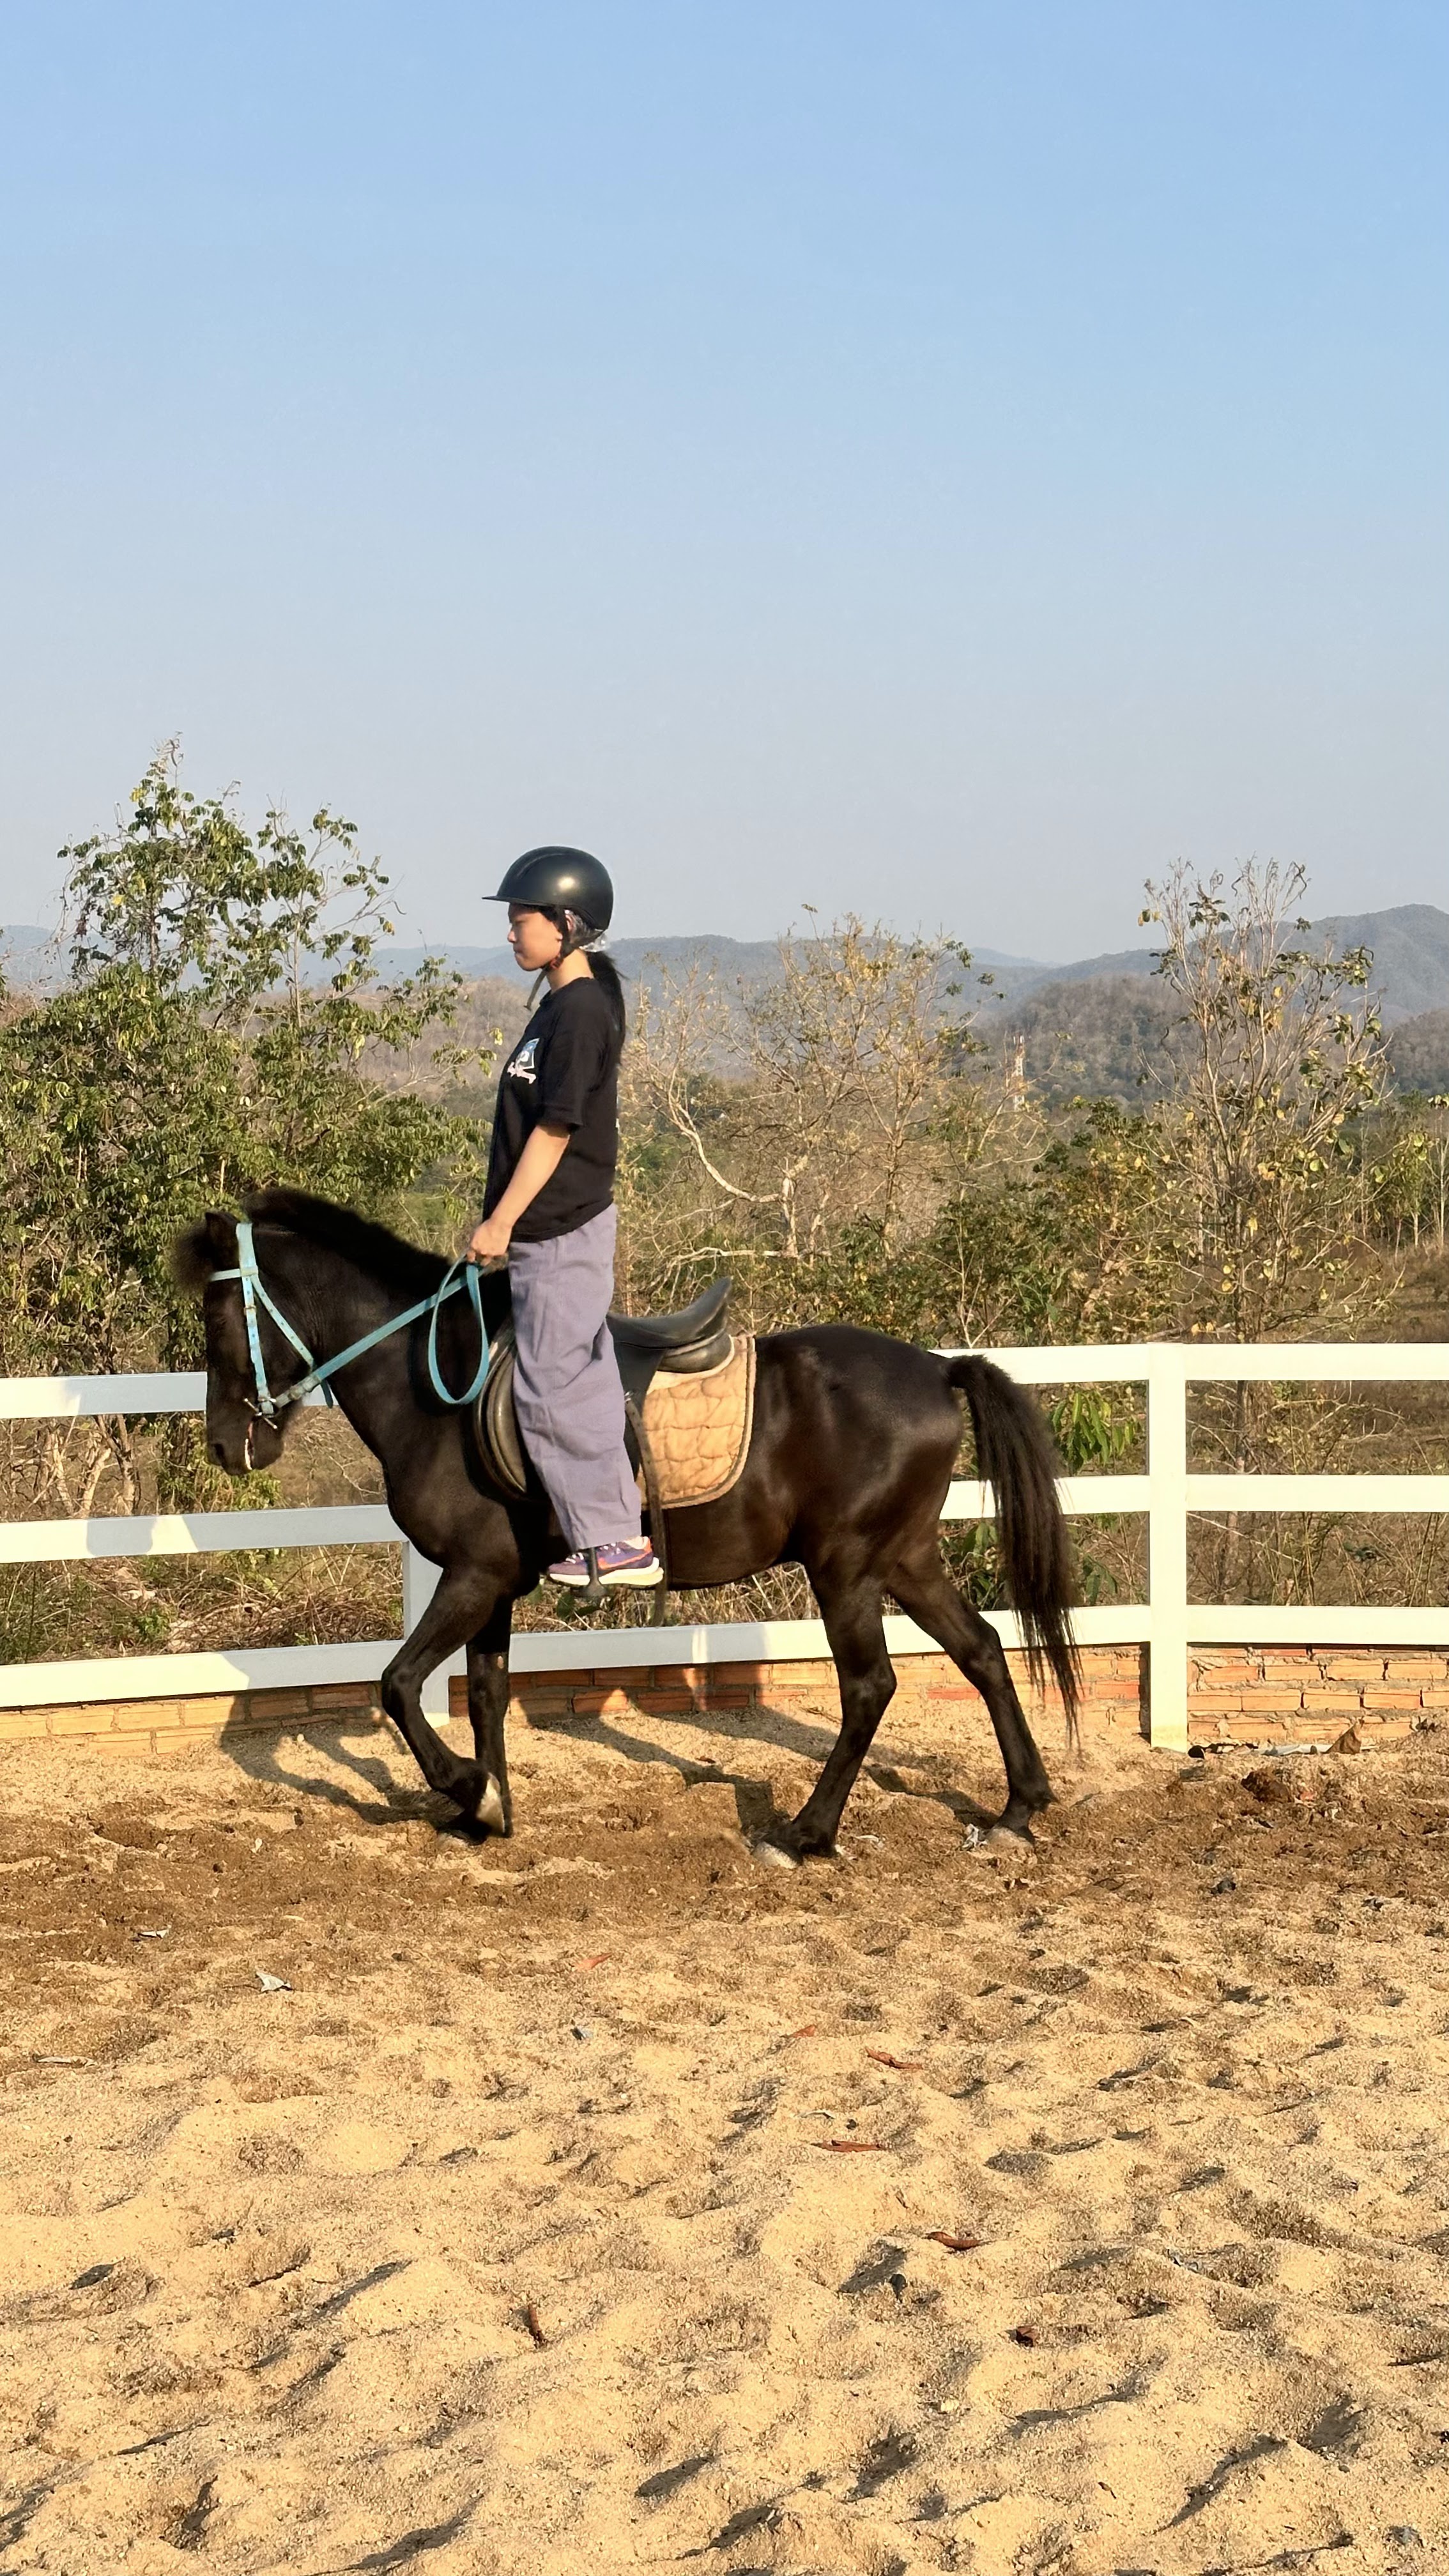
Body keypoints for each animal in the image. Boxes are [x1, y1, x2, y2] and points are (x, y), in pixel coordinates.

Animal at [174, 1190, 1079, 1862]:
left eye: (216, 1320)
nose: (226, 1445)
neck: (442, 1385)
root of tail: (938, 1367)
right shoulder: (490, 1582)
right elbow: (487, 1692)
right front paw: (488, 1812)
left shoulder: (472, 1576)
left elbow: (397, 1683)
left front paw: (467, 1789)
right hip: (905, 1558)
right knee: (982, 1651)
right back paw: (1018, 1807)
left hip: (846, 1568)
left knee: (869, 1688)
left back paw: (806, 1834)